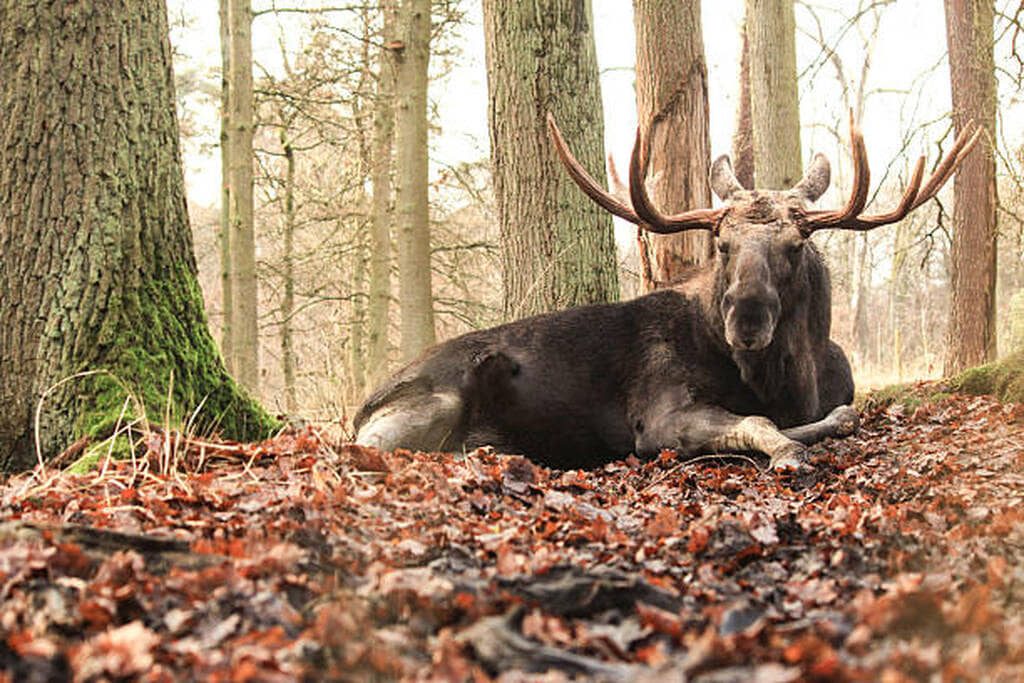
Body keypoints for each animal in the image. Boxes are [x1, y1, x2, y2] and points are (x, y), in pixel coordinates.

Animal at [353, 112, 979, 471]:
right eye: (721, 243)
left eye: (796, 245)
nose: (746, 320)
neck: (792, 379)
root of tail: (363, 405)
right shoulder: (658, 415)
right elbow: (761, 425)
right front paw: (787, 454)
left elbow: (841, 413)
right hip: (426, 408)